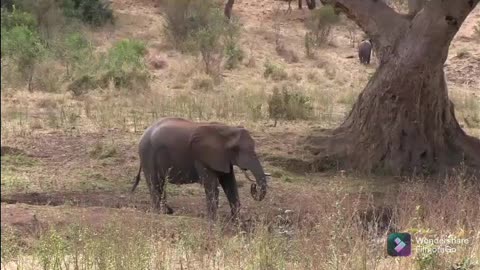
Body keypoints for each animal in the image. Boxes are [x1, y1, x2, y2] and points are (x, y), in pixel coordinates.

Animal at [129, 117, 268, 220]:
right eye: (235, 149)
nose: (254, 186)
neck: (226, 129)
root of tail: (145, 132)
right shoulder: (202, 158)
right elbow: (212, 186)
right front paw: (213, 221)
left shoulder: (222, 158)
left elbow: (230, 184)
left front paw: (237, 222)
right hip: (147, 153)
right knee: (155, 183)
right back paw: (158, 213)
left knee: (160, 184)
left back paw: (167, 211)